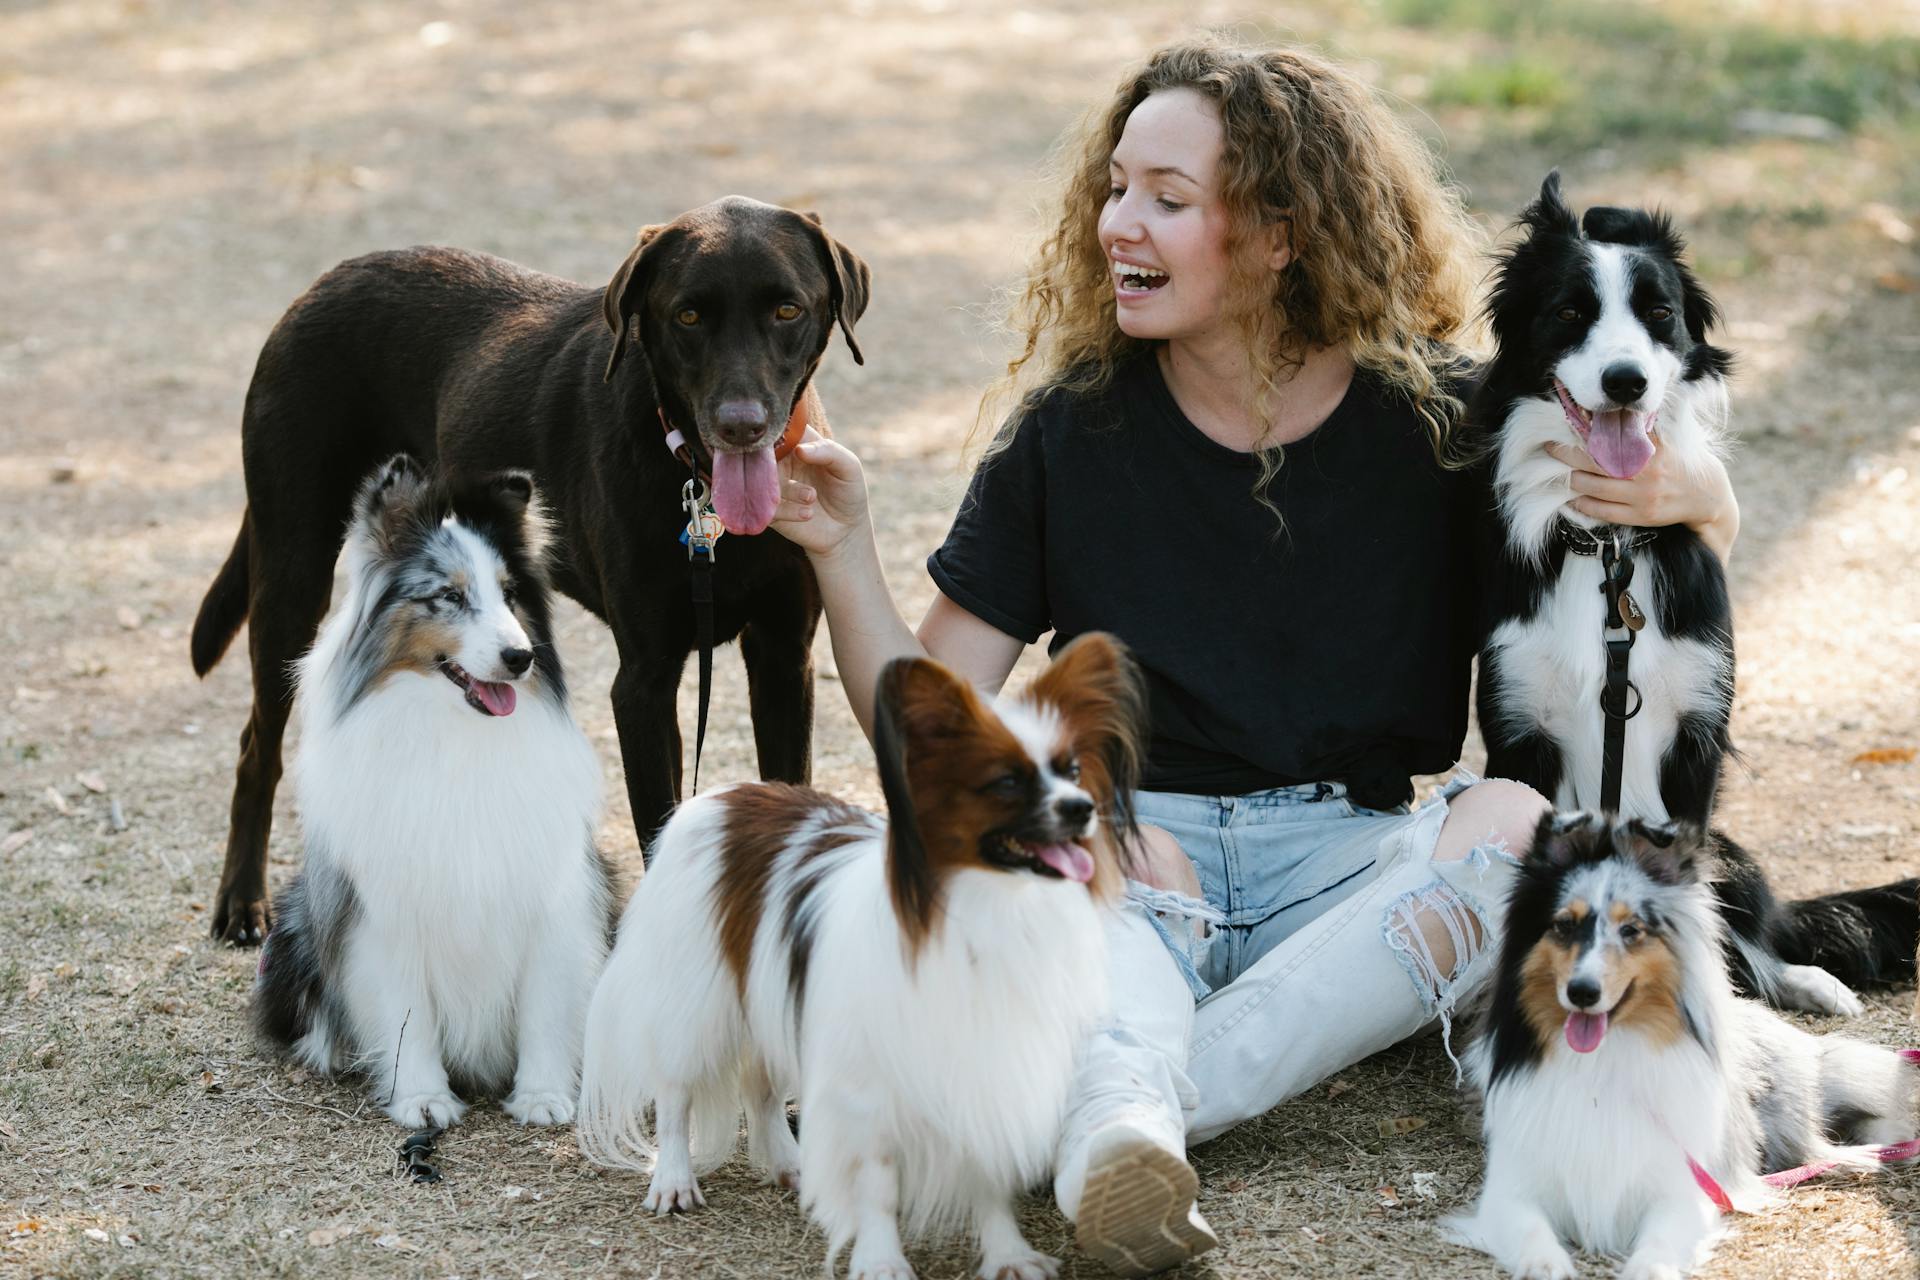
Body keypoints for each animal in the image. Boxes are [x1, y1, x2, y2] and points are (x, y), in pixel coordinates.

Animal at [192, 197, 871, 940]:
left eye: (787, 310)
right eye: (688, 316)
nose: (740, 424)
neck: (706, 500)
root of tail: (323, 281)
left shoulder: (783, 658)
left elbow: (788, 789)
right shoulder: (643, 683)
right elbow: (656, 826)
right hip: (293, 571)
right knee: (258, 745)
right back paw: (243, 901)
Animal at [247, 458, 606, 1128]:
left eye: (510, 596)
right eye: (450, 596)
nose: (521, 657)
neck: (455, 733)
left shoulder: (550, 897)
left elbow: (545, 1006)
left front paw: (542, 1095)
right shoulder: (385, 909)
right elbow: (407, 1017)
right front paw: (422, 1097)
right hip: (294, 925)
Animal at [576, 633, 1144, 1280]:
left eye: (1071, 769)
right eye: (1005, 782)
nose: (1082, 808)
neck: (989, 909)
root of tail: (722, 796)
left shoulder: (983, 1069)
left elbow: (987, 1178)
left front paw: (1008, 1255)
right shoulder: (866, 1083)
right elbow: (875, 1185)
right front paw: (881, 1261)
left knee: (761, 1087)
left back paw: (790, 1164)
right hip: (699, 1002)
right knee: (675, 1093)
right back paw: (674, 1179)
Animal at [1451, 817, 1920, 1274]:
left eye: (1632, 931)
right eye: (1564, 927)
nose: (1582, 992)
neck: (1604, 1063)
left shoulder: (1680, 1190)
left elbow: (1657, 1249)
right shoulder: (1514, 1191)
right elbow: (1533, 1237)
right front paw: (1545, 1265)